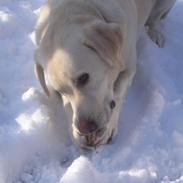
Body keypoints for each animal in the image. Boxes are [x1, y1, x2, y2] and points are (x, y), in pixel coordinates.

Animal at [34, 0, 176, 149]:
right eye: (60, 91)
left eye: (83, 78)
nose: (84, 128)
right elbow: (66, 105)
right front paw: (75, 133)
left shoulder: (129, 68)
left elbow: (118, 94)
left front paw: (108, 128)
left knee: (154, 20)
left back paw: (155, 35)